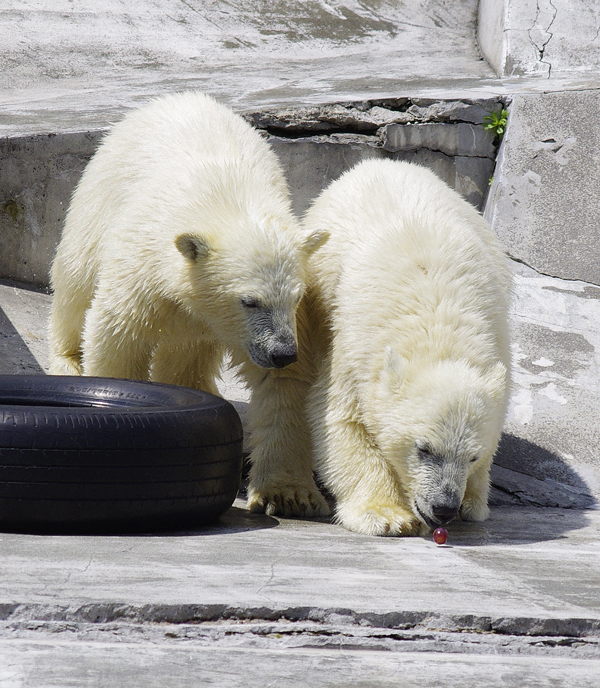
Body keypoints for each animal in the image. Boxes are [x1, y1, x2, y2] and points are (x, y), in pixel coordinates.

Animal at [49, 92, 330, 516]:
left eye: (295, 296)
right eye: (249, 300)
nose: (282, 352)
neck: (229, 200)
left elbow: (283, 386)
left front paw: (288, 495)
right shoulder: (147, 262)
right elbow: (119, 333)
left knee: (187, 355)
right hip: (98, 197)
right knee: (76, 280)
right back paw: (67, 360)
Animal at [296, 161, 510, 536]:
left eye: (471, 456)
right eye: (424, 449)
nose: (443, 509)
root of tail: (380, 163)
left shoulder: (497, 335)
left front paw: (473, 502)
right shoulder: (355, 347)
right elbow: (342, 417)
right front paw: (386, 515)